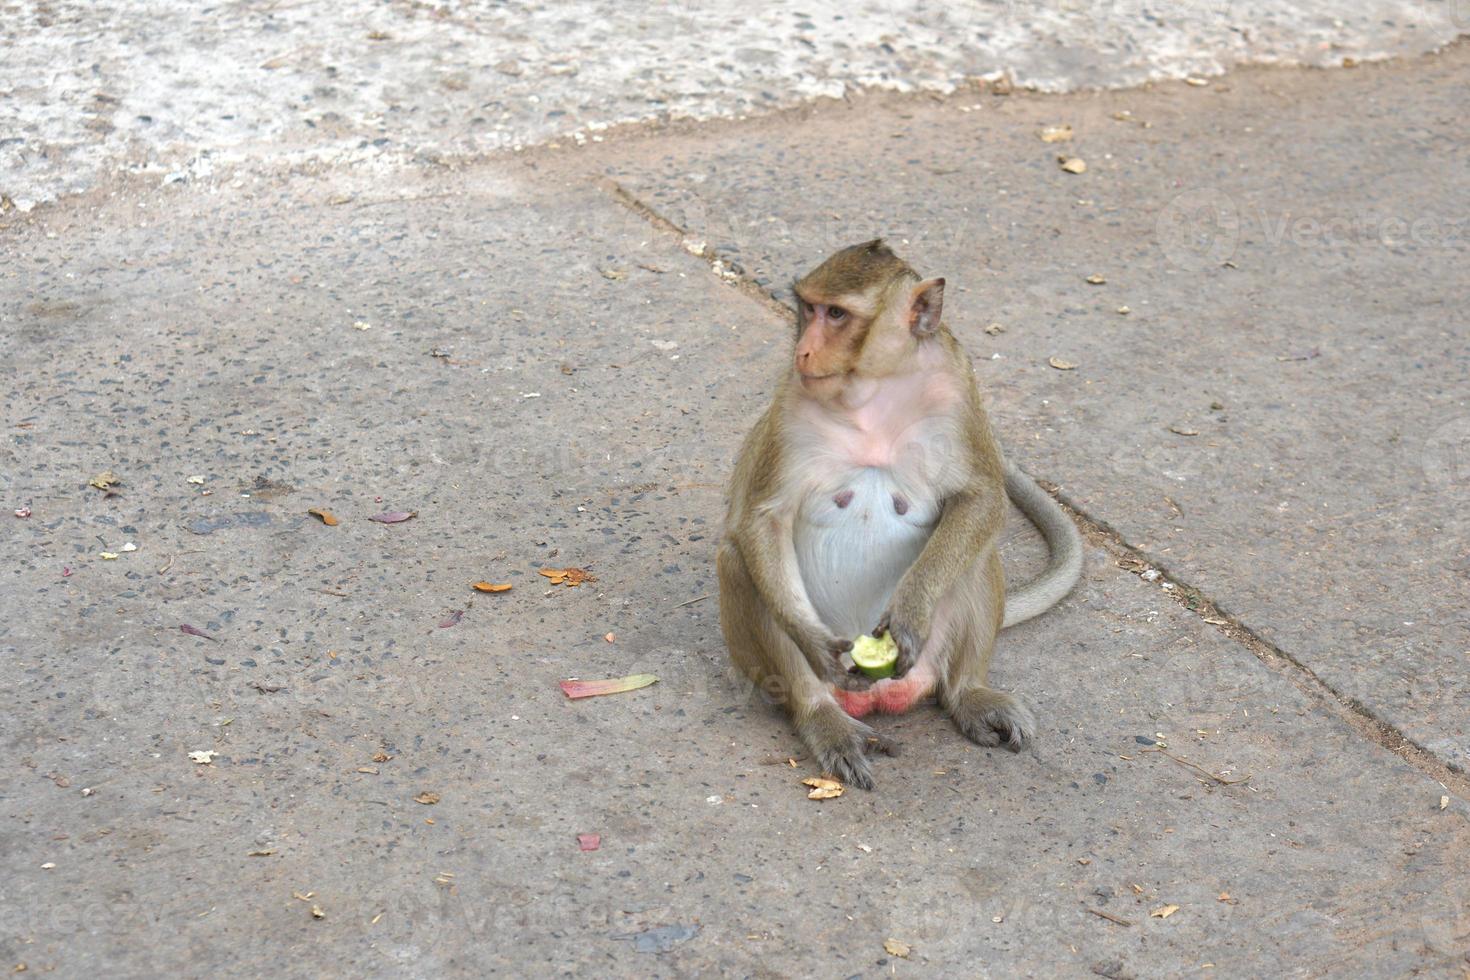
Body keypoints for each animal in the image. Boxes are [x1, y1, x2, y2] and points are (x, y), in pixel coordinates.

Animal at [717, 239, 1087, 787]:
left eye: (836, 314)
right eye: (807, 308)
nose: (803, 349)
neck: (873, 387)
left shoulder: (958, 387)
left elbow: (979, 498)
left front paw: (911, 610)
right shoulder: (789, 405)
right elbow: (761, 520)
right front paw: (811, 640)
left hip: (931, 661)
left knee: (978, 557)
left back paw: (969, 693)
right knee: (737, 560)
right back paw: (822, 716)